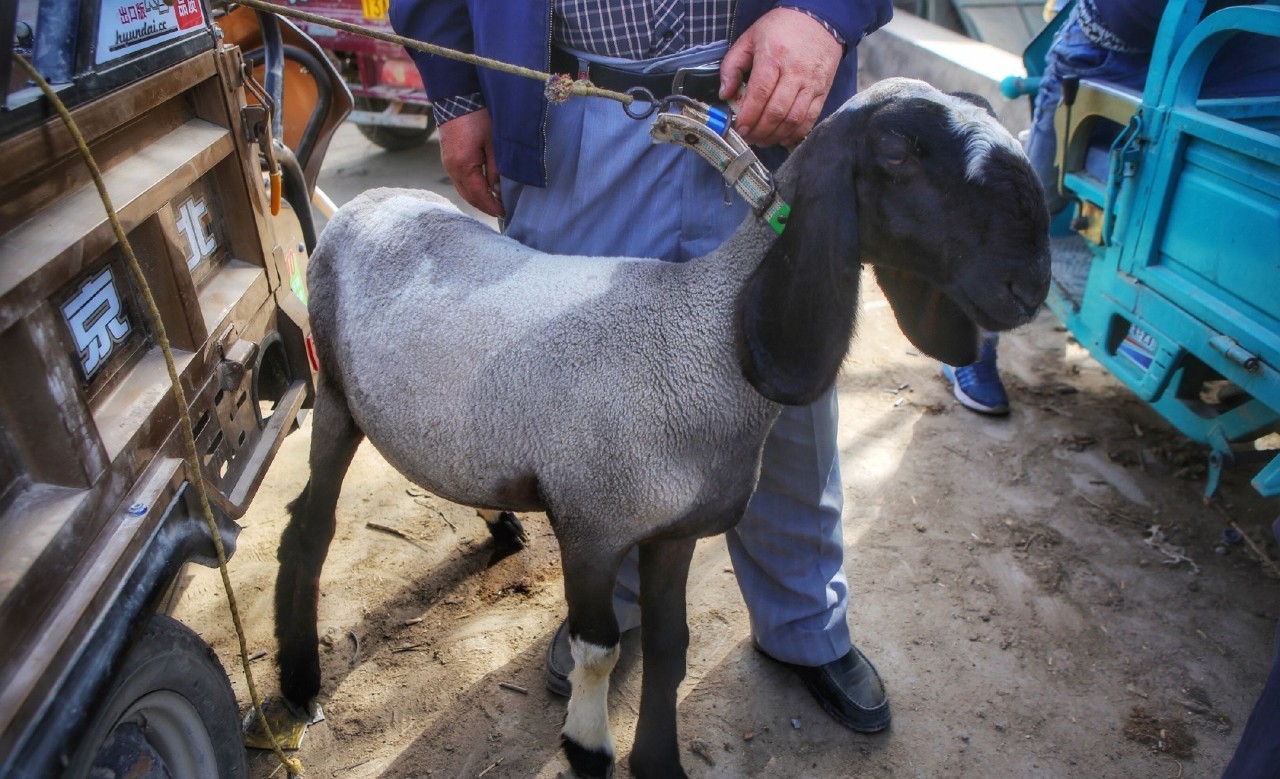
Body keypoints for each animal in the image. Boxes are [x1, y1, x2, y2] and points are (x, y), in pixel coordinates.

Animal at [277, 77, 1049, 777]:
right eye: (897, 153)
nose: (1030, 288)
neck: (707, 336)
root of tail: (362, 206)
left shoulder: (675, 532)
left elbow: (671, 648)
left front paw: (658, 762)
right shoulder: (592, 523)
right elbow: (599, 647)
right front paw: (588, 748)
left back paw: (497, 523)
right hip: (335, 393)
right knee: (308, 525)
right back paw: (298, 683)